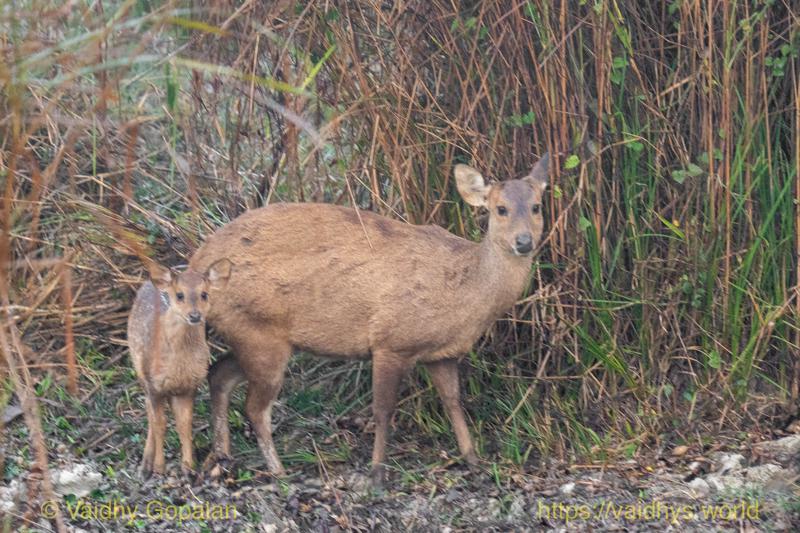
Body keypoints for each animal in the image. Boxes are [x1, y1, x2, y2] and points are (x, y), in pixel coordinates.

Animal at [127, 259, 231, 478]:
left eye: (204, 294)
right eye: (180, 294)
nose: (194, 315)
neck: (177, 366)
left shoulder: (189, 386)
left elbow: (184, 425)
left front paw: (188, 467)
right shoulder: (154, 383)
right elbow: (160, 424)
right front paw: (159, 468)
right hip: (139, 369)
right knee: (149, 411)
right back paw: (146, 465)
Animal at [189, 154, 551, 485]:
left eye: (536, 206)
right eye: (500, 209)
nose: (523, 242)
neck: (463, 291)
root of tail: (197, 262)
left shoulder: (442, 354)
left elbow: (453, 403)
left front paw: (474, 459)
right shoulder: (391, 341)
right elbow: (383, 409)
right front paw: (376, 473)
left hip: (254, 335)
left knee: (219, 375)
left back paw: (221, 456)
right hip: (260, 332)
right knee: (255, 406)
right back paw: (277, 470)